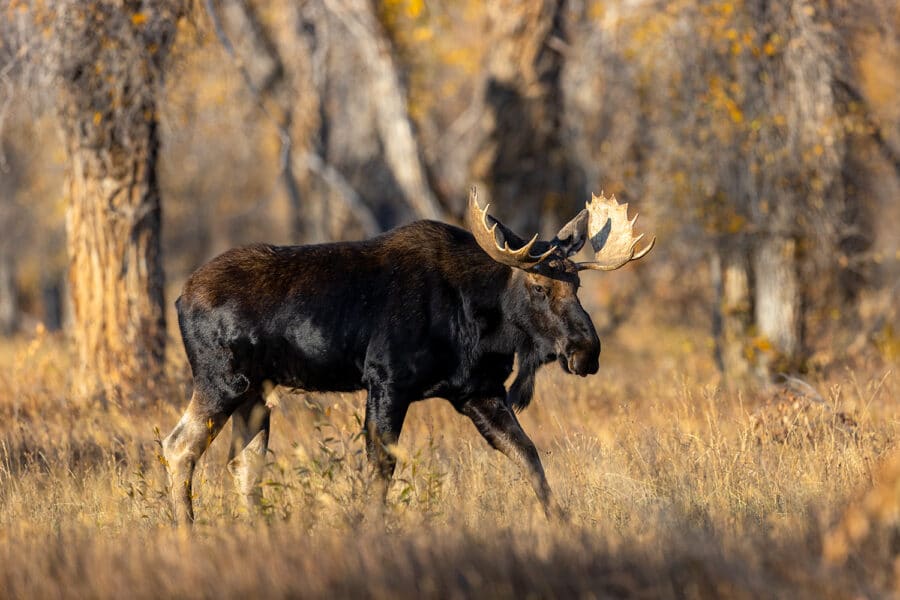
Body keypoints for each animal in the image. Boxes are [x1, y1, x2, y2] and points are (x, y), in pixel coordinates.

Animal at [162, 185, 652, 524]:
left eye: (578, 284)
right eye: (538, 287)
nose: (586, 351)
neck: (481, 323)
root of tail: (180, 299)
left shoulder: (479, 392)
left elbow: (529, 455)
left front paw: (562, 523)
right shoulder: (386, 381)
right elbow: (381, 468)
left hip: (256, 394)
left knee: (242, 463)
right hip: (223, 382)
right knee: (178, 446)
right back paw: (186, 531)